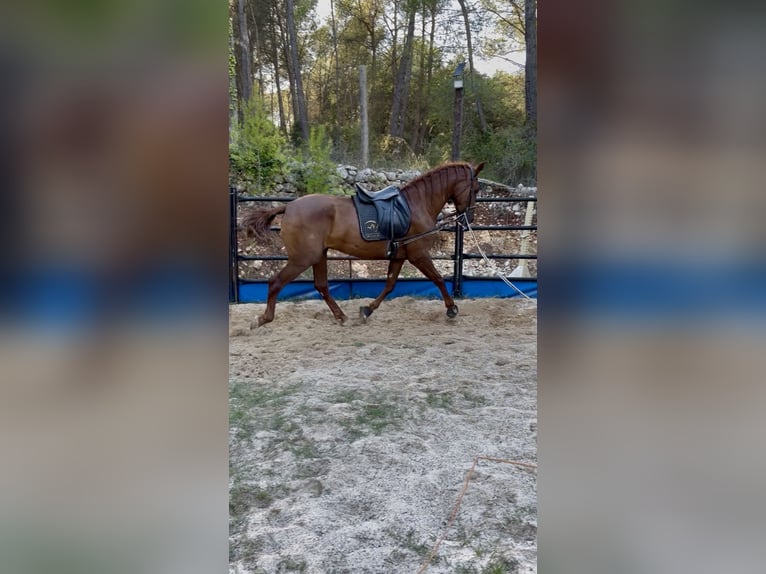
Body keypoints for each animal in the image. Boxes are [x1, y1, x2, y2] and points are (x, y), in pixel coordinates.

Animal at [242, 161, 485, 327]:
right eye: (476, 189)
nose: (469, 218)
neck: (416, 205)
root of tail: (289, 207)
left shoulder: (399, 256)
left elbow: (389, 285)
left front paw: (367, 310)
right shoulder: (418, 254)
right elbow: (438, 279)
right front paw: (452, 309)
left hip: (319, 255)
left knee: (321, 286)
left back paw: (341, 316)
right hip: (303, 258)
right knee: (276, 282)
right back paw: (263, 319)